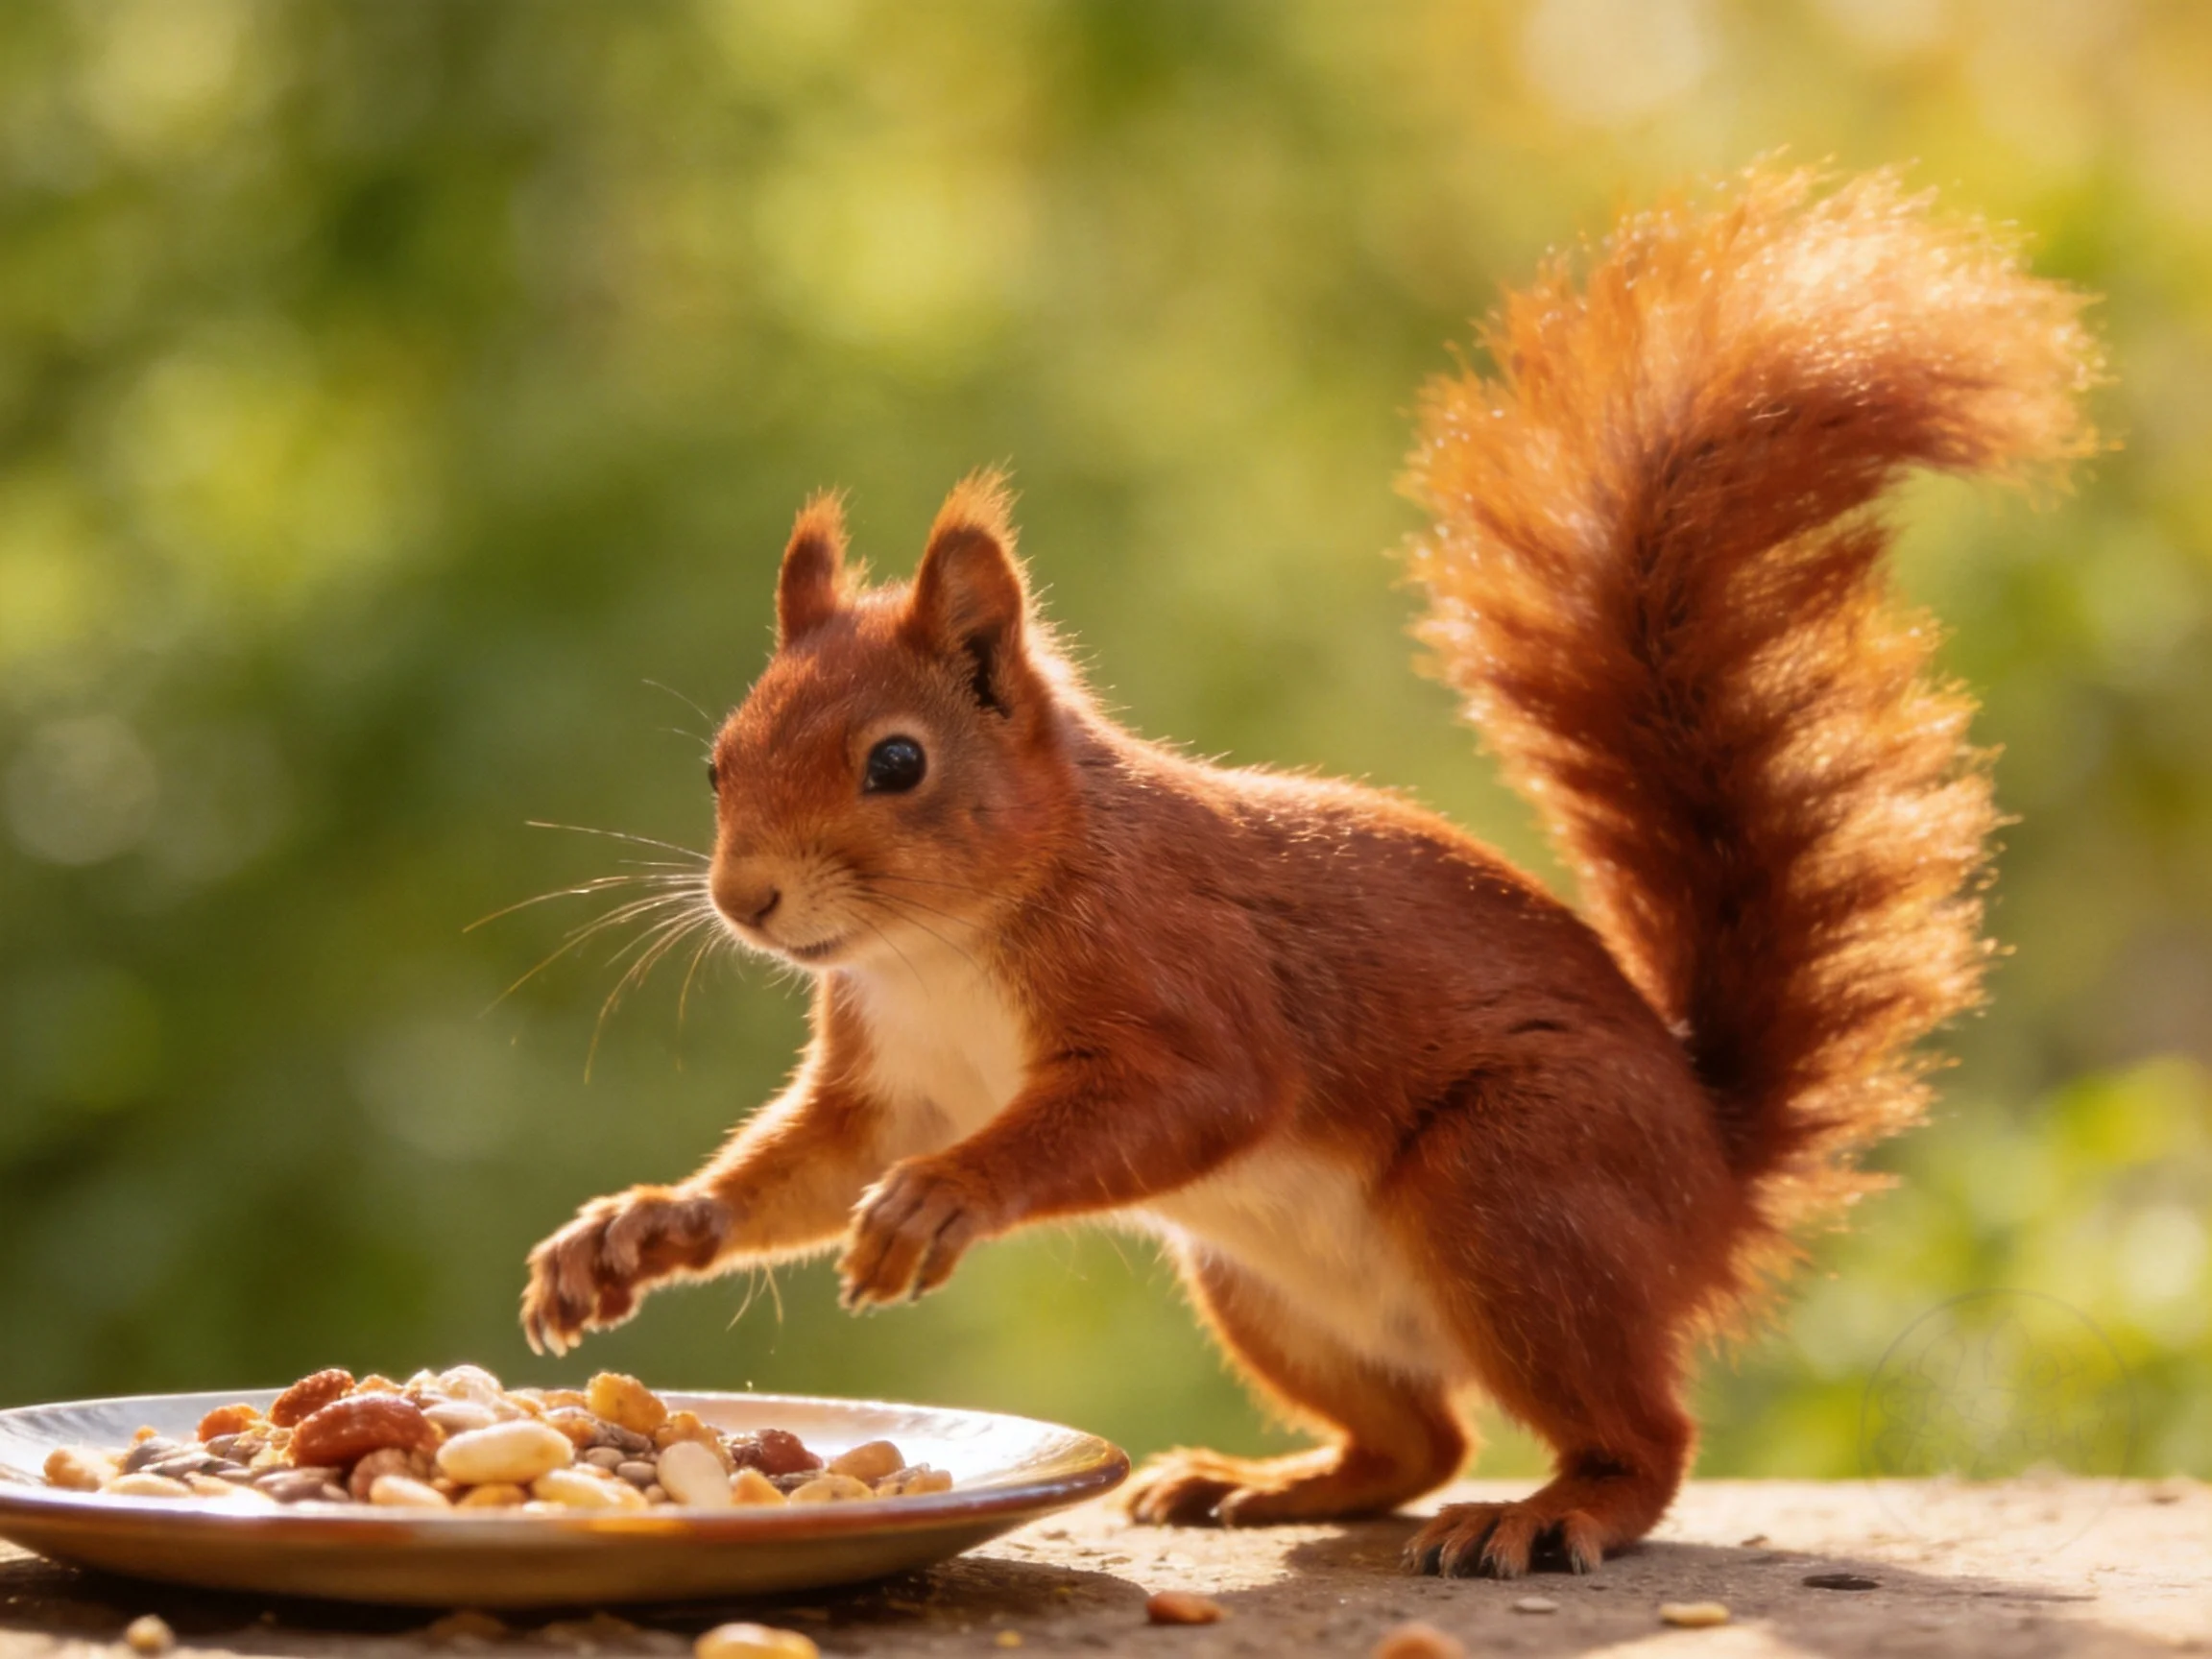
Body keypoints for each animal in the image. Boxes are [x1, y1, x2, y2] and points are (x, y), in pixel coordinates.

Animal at [519, 166, 2099, 1576]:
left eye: (895, 763)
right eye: (717, 763)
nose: (746, 901)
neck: (944, 947)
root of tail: (1714, 1185)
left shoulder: (1182, 974)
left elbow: (1190, 1096)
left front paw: (940, 1199)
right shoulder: (891, 1073)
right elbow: (803, 1164)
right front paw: (640, 1230)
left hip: (1517, 1189)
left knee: (1638, 1439)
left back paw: (1551, 1513)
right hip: (1262, 1289)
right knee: (1419, 1441)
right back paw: (1262, 1481)